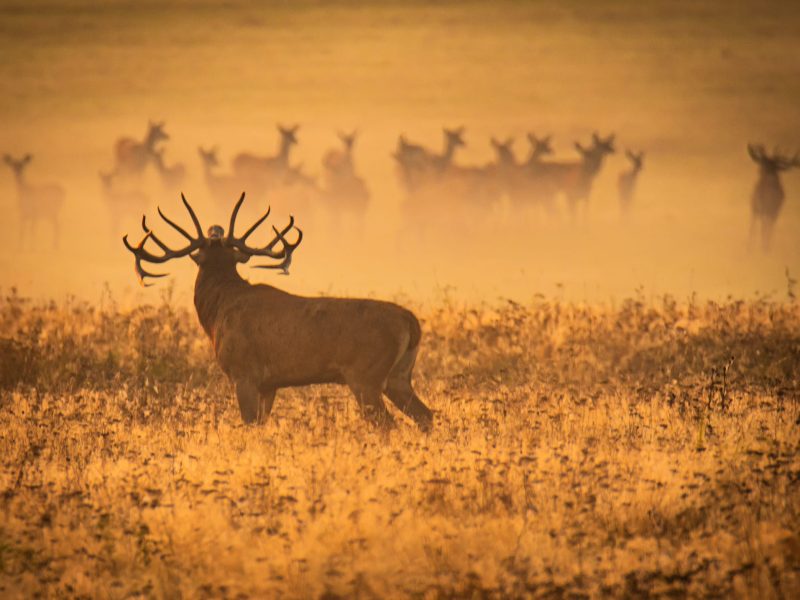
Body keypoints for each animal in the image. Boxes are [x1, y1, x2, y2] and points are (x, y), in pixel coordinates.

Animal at [121, 195, 432, 428]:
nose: (215, 229)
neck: (217, 313)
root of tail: (411, 321)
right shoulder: (269, 384)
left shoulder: (243, 372)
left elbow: (249, 424)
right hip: (398, 376)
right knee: (425, 415)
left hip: (366, 375)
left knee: (387, 424)